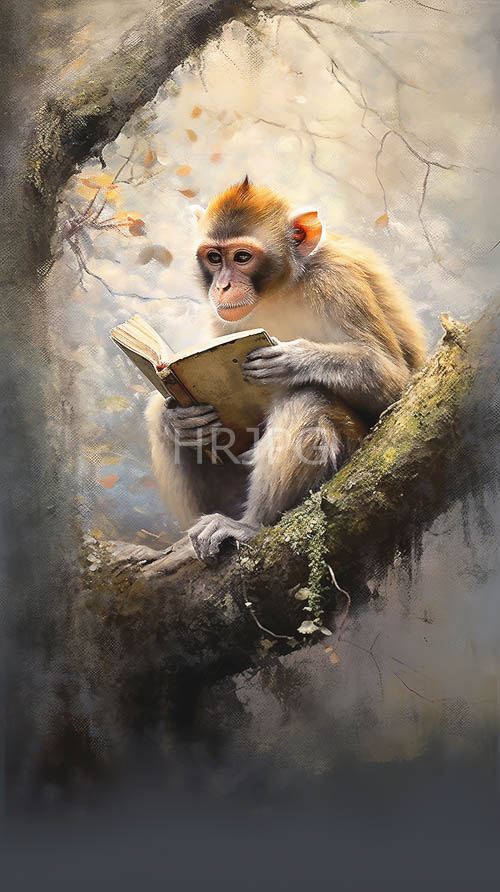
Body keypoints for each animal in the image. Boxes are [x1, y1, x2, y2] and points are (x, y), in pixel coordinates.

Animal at [146, 177, 426, 563]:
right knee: (159, 417)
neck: (281, 288)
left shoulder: (338, 281)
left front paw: (296, 359)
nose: (223, 286)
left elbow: (398, 381)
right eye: (214, 257)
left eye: (242, 257)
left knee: (306, 397)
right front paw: (181, 419)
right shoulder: (223, 319)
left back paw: (250, 525)